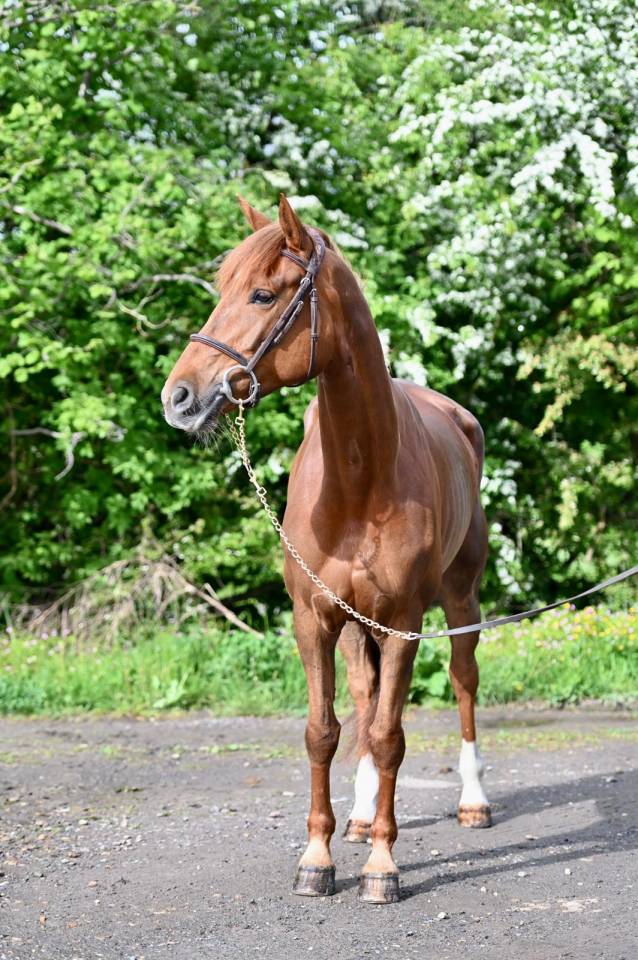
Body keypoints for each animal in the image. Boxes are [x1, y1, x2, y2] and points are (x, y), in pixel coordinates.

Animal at [161, 194, 490, 904]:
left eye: (262, 293)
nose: (179, 397)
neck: (360, 480)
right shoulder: (314, 618)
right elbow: (324, 733)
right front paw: (318, 857)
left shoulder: (403, 623)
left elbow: (390, 737)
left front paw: (383, 869)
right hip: (355, 624)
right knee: (365, 699)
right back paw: (363, 818)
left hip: (461, 600)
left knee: (463, 681)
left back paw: (473, 801)